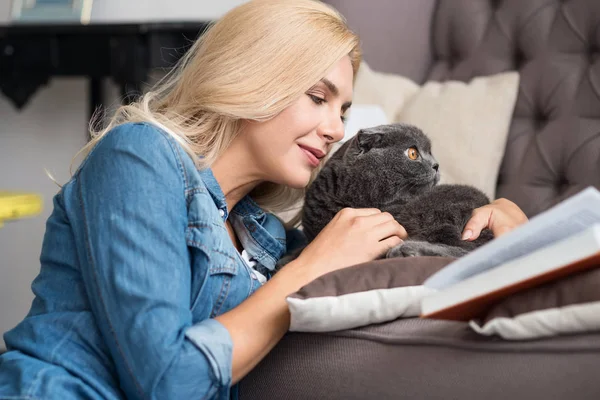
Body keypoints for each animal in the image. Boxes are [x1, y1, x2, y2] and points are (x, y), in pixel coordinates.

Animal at [284, 123, 494, 264]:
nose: (436, 165)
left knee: (469, 252)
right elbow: (305, 248)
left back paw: (407, 250)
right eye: (413, 153)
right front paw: (288, 258)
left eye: (430, 152)